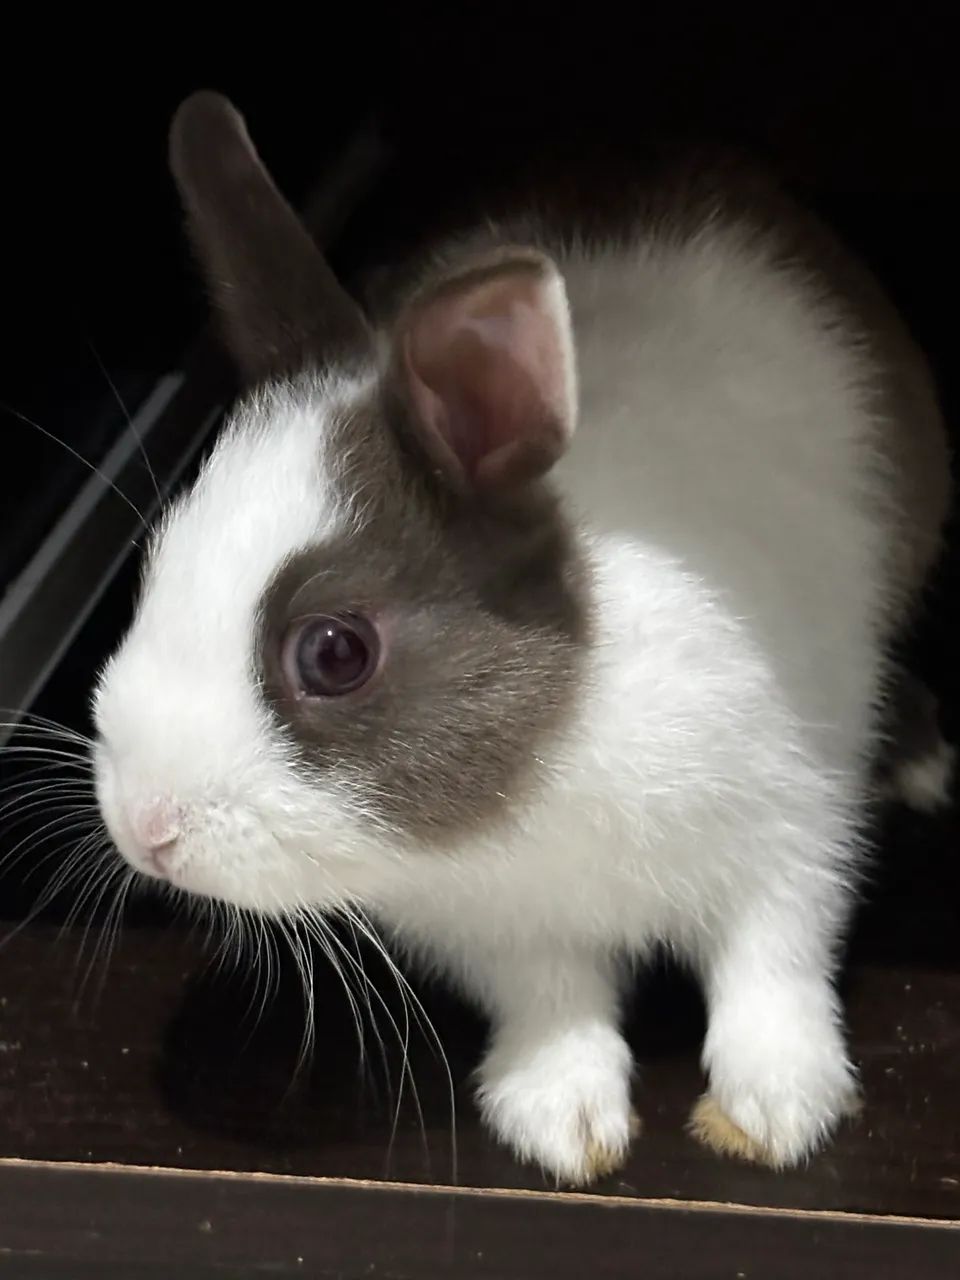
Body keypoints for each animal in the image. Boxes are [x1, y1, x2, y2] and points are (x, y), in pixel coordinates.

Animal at [92, 91, 951, 1185]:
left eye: (333, 652)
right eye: (156, 563)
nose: (144, 828)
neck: (547, 765)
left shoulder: (795, 823)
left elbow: (773, 962)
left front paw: (775, 1110)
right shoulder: (495, 927)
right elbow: (553, 998)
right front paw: (564, 1120)